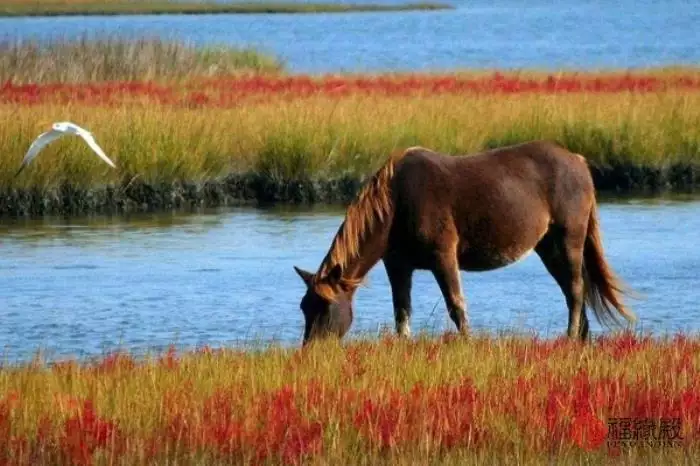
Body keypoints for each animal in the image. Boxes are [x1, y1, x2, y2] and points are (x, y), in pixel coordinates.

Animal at [292, 141, 636, 346]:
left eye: (325, 307)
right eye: (304, 307)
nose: (311, 350)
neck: (396, 203)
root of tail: (579, 161)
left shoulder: (443, 257)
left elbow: (456, 305)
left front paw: (468, 344)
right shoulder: (398, 265)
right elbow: (401, 311)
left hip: (569, 238)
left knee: (576, 290)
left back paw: (569, 337)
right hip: (547, 246)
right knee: (571, 290)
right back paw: (580, 338)